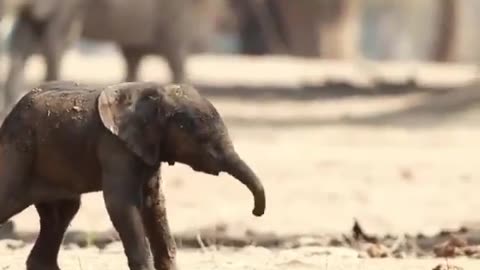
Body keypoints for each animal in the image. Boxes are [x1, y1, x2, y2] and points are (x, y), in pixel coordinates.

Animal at [0, 80, 266, 270]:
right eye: (202, 140)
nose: (256, 212)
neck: (155, 94)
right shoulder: (114, 146)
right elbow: (121, 204)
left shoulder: (149, 149)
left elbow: (154, 204)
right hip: (19, 151)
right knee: (11, 201)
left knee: (62, 213)